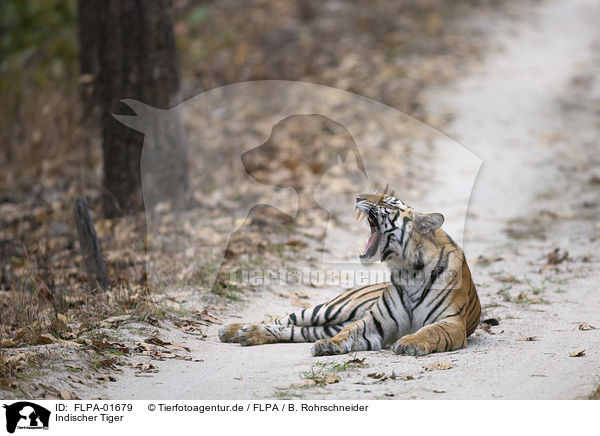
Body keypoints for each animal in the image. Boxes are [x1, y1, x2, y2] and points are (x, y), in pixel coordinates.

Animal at [218, 189, 480, 356]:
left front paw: (410, 342)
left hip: (324, 322)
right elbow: (350, 331)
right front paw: (328, 344)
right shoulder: (375, 322)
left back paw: (245, 334)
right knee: (282, 319)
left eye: (388, 202)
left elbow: (430, 332)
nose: (358, 197)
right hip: (329, 309)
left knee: (293, 330)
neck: (406, 269)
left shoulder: (451, 323)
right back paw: (235, 330)